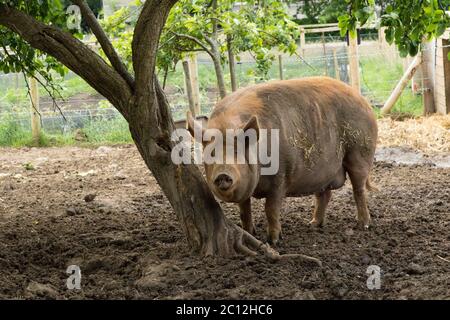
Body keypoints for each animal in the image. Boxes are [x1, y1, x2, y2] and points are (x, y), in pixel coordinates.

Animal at [188, 76, 378, 244]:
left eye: (237, 152)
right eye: (210, 154)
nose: (222, 175)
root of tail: (363, 100)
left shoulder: (281, 176)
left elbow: (271, 208)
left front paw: (273, 241)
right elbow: (244, 210)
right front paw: (250, 233)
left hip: (359, 153)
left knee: (358, 189)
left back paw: (363, 225)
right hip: (324, 171)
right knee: (324, 194)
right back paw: (313, 224)